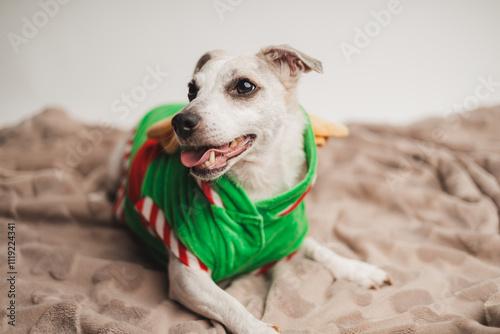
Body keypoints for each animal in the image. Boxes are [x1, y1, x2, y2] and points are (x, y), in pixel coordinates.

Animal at [107, 45, 392, 334]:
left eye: (244, 86)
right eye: (191, 90)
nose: (180, 121)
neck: (258, 188)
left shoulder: (290, 237)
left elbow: (318, 248)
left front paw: (358, 269)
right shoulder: (187, 272)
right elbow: (230, 304)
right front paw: (260, 328)